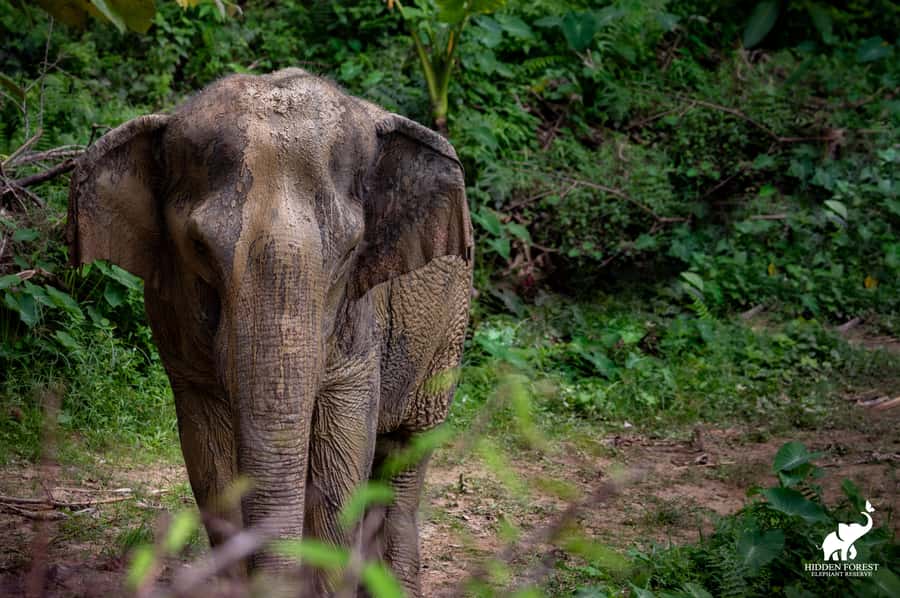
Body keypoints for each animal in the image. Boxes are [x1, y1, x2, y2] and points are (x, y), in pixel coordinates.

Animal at [66, 69, 473, 594]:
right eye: (198, 246)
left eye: (351, 249)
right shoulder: (173, 319)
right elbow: (210, 460)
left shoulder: (360, 315)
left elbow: (341, 459)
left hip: (448, 331)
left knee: (404, 459)